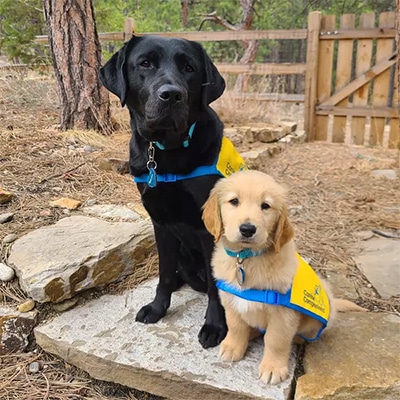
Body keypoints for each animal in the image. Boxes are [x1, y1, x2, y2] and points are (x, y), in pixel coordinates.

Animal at [203, 170, 366, 386]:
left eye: (265, 206)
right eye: (234, 201)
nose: (247, 229)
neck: (247, 259)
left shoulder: (283, 315)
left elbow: (275, 340)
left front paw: (273, 368)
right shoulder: (230, 301)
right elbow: (236, 326)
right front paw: (233, 347)